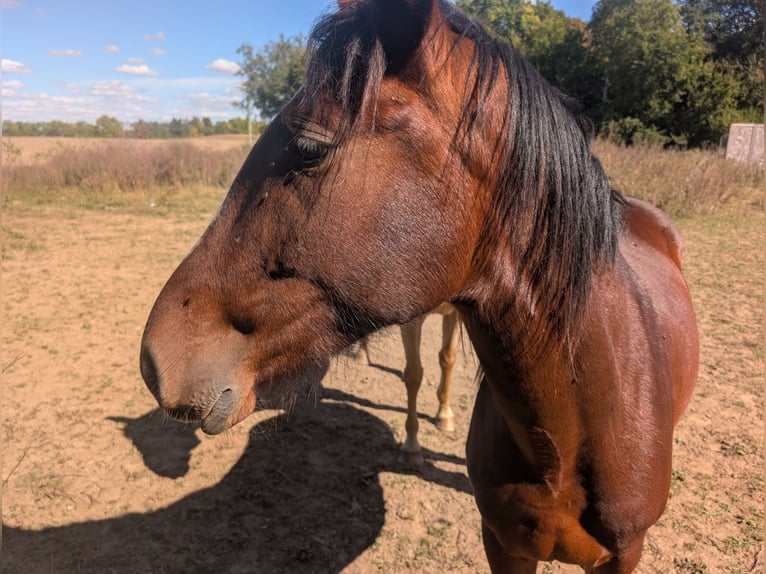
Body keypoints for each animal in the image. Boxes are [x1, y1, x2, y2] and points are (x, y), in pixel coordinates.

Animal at [139, 1, 699, 571]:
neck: (568, 440)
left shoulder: (622, 555)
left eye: (309, 147)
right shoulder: (502, 542)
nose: (156, 358)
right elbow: (415, 373)